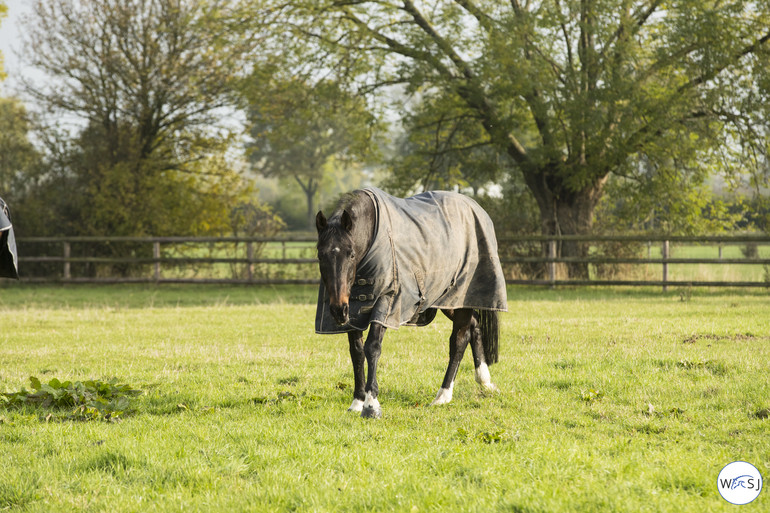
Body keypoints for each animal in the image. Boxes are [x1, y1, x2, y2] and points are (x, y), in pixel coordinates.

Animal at [312, 186, 504, 418]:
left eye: (351, 254)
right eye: (320, 255)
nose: (338, 309)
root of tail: (475, 207)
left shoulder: (386, 303)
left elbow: (372, 348)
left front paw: (371, 405)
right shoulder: (354, 311)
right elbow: (356, 352)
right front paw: (357, 402)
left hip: (460, 295)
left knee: (459, 339)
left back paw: (443, 395)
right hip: (447, 301)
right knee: (474, 325)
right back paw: (484, 381)